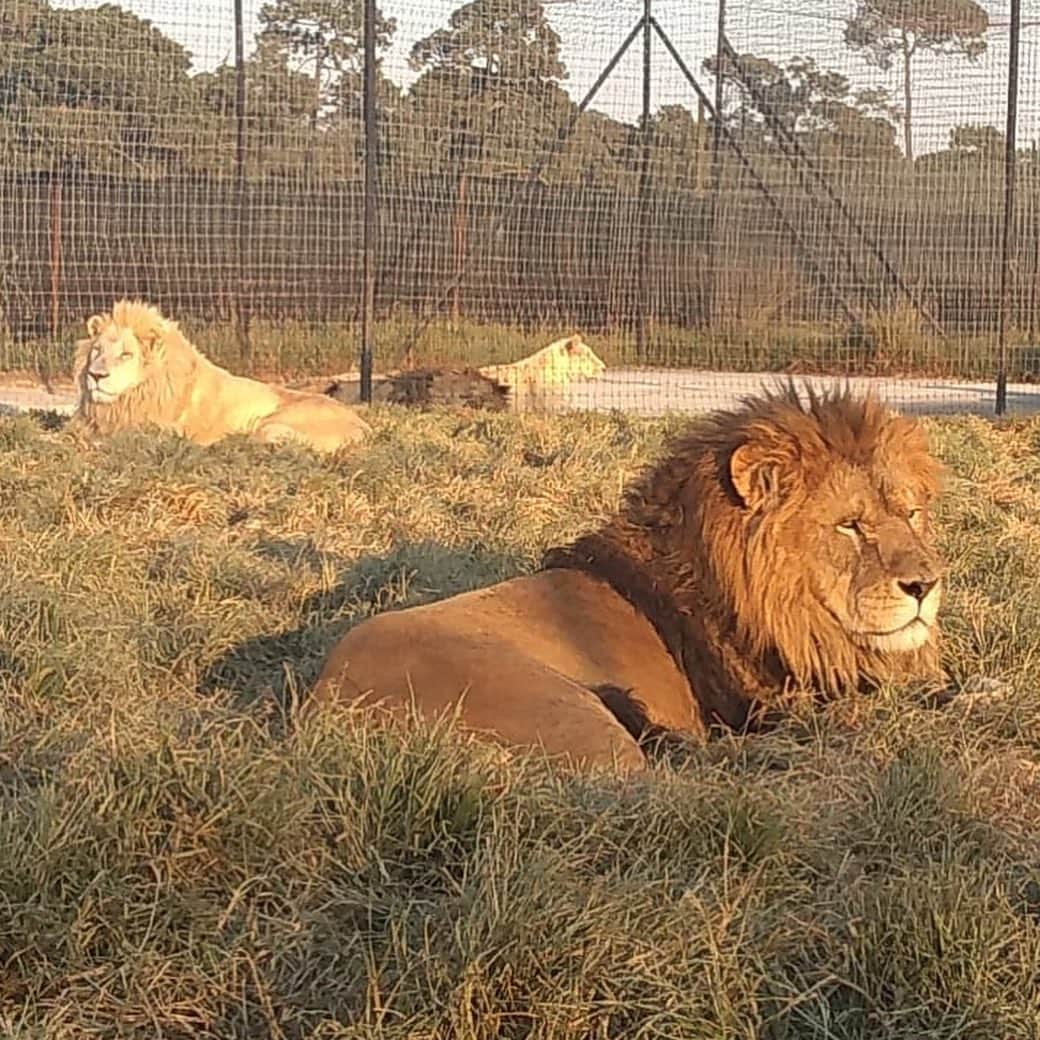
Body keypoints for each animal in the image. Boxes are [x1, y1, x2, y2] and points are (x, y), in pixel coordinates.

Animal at [303, 386, 948, 769]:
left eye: (913, 513)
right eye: (850, 526)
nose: (925, 585)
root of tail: (323, 709)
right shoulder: (784, 705)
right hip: (573, 720)